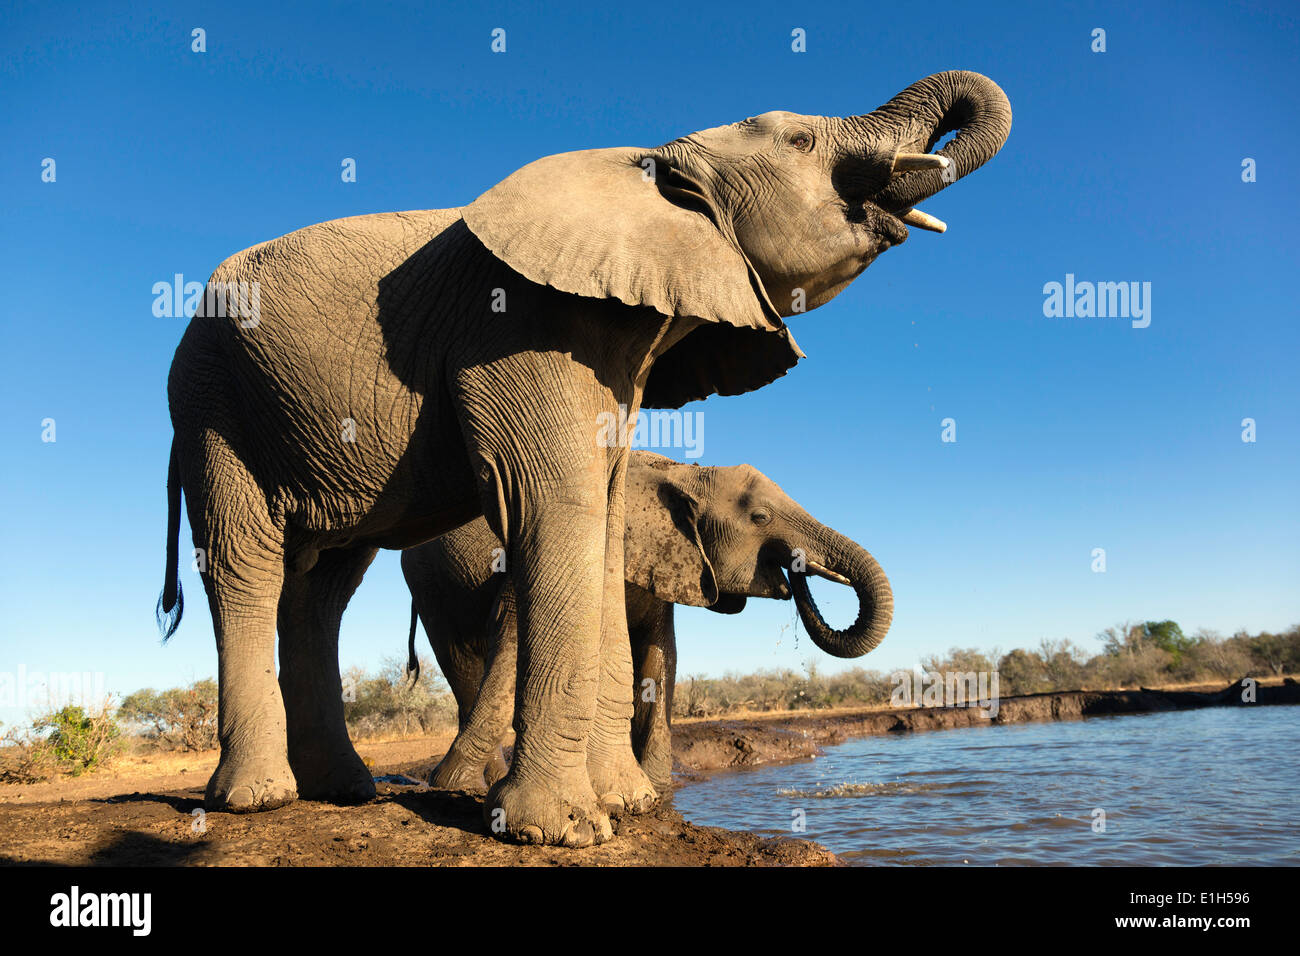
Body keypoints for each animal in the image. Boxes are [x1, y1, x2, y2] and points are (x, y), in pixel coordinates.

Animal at [405, 452, 894, 796]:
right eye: (760, 518)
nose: (797, 571)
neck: (683, 473)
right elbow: (511, 636)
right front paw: (451, 786)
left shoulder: (669, 560)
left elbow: (661, 658)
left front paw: (656, 791)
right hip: (429, 585)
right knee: (461, 664)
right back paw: (474, 783)